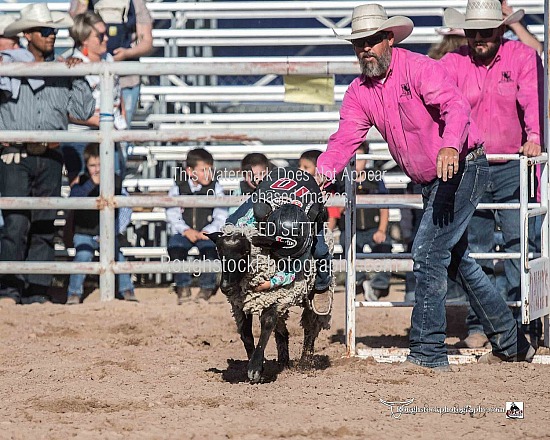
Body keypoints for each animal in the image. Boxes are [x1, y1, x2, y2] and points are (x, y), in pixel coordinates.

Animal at [209, 225, 334, 384]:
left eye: (245, 252)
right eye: (219, 252)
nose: (226, 288)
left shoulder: (277, 296)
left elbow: (267, 324)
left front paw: (255, 369)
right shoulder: (242, 304)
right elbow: (246, 333)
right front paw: (257, 366)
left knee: (311, 327)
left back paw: (305, 363)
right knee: (281, 329)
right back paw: (283, 362)